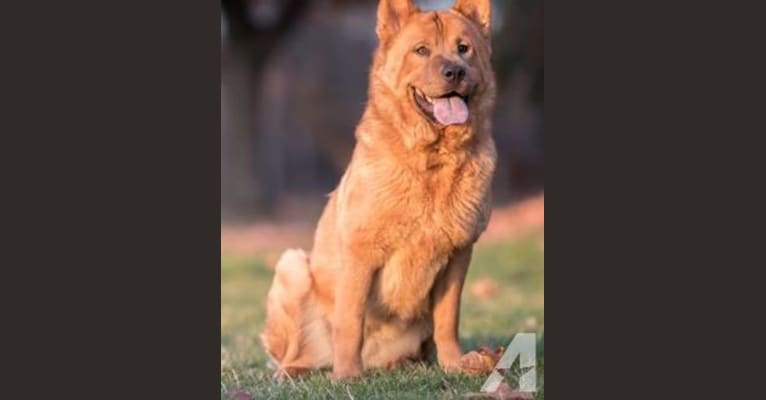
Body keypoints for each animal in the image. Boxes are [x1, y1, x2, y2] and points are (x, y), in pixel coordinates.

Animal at [260, 0, 498, 382]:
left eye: (464, 49)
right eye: (421, 50)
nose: (455, 71)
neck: (432, 159)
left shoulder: (459, 253)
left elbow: (448, 319)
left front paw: (455, 365)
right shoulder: (361, 251)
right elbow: (350, 321)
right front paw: (347, 376)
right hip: (293, 265)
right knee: (296, 349)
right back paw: (293, 371)